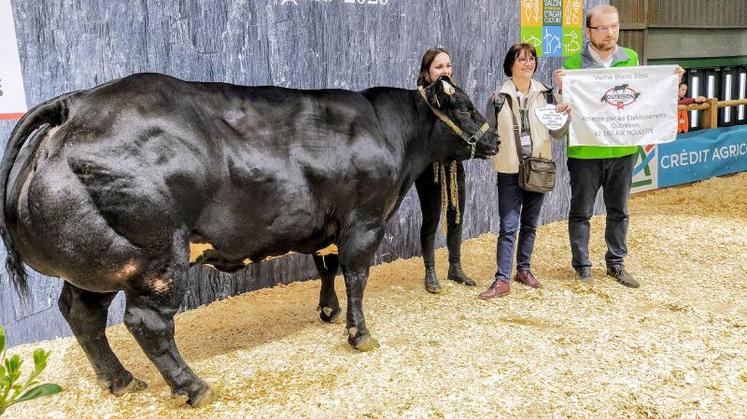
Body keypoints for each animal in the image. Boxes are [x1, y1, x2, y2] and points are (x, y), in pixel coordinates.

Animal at [0, 74, 496, 408]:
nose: (492, 140)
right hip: (154, 259)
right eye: (464, 107)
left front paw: (328, 312)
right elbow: (356, 276)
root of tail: (77, 103)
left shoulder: (324, 225)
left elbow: (328, 267)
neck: (389, 131)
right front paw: (360, 333)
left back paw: (121, 381)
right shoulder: (364, 221)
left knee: (82, 315)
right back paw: (193, 387)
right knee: (148, 322)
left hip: (100, 260)